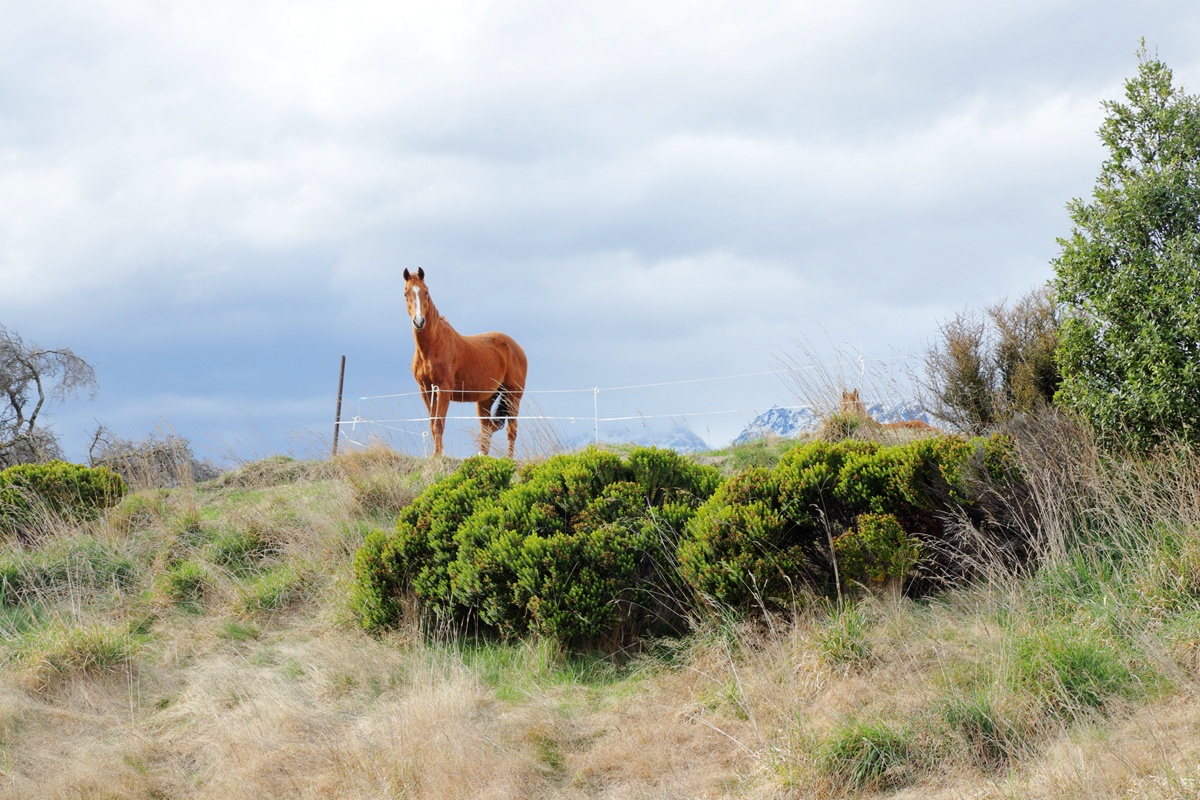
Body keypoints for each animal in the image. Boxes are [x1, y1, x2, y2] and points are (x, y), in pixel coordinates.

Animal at [403, 267, 525, 455]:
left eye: (426, 291)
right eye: (406, 293)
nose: (419, 321)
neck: (433, 345)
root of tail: (517, 348)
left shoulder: (443, 389)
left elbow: (439, 423)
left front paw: (438, 456)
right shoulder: (426, 390)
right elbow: (433, 423)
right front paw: (437, 454)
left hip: (513, 395)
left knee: (511, 430)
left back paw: (509, 459)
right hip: (487, 398)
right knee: (486, 429)